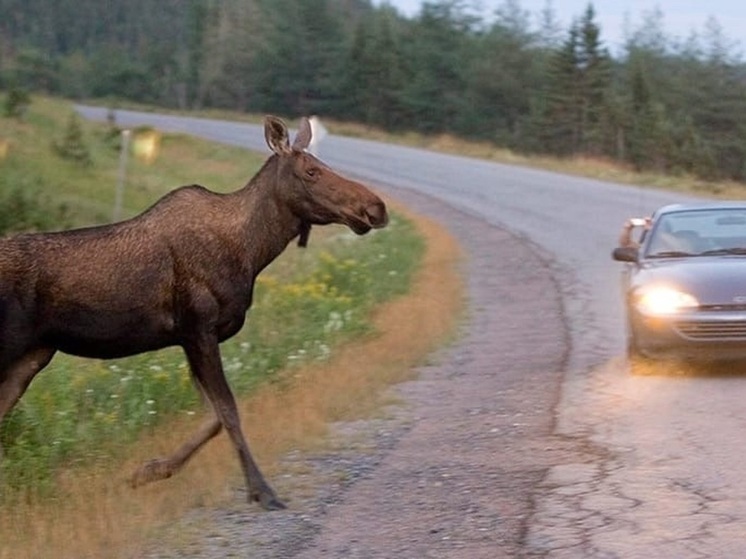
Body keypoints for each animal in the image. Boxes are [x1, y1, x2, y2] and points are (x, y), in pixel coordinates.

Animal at [2, 116, 390, 510]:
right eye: (311, 170)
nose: (376, 207)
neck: (252, 251)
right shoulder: (199, 327)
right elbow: (228, 411)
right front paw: (262, 490)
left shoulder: (189, 338)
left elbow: (212, 417)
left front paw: (148, 471)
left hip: (33, 356)